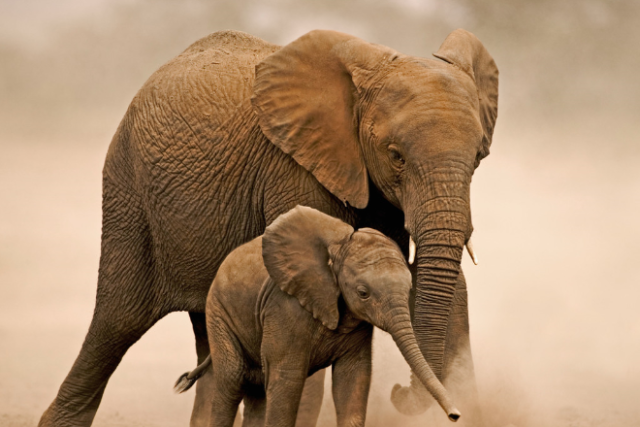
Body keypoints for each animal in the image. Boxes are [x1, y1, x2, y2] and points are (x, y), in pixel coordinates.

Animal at [173, 206, 461, 426]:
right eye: (363, 293)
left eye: (410, 288)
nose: (456, 415)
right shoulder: (285, 308)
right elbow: (287, 382)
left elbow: (352, 379)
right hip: (218, 312)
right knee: (232, 381)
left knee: (256, 390)